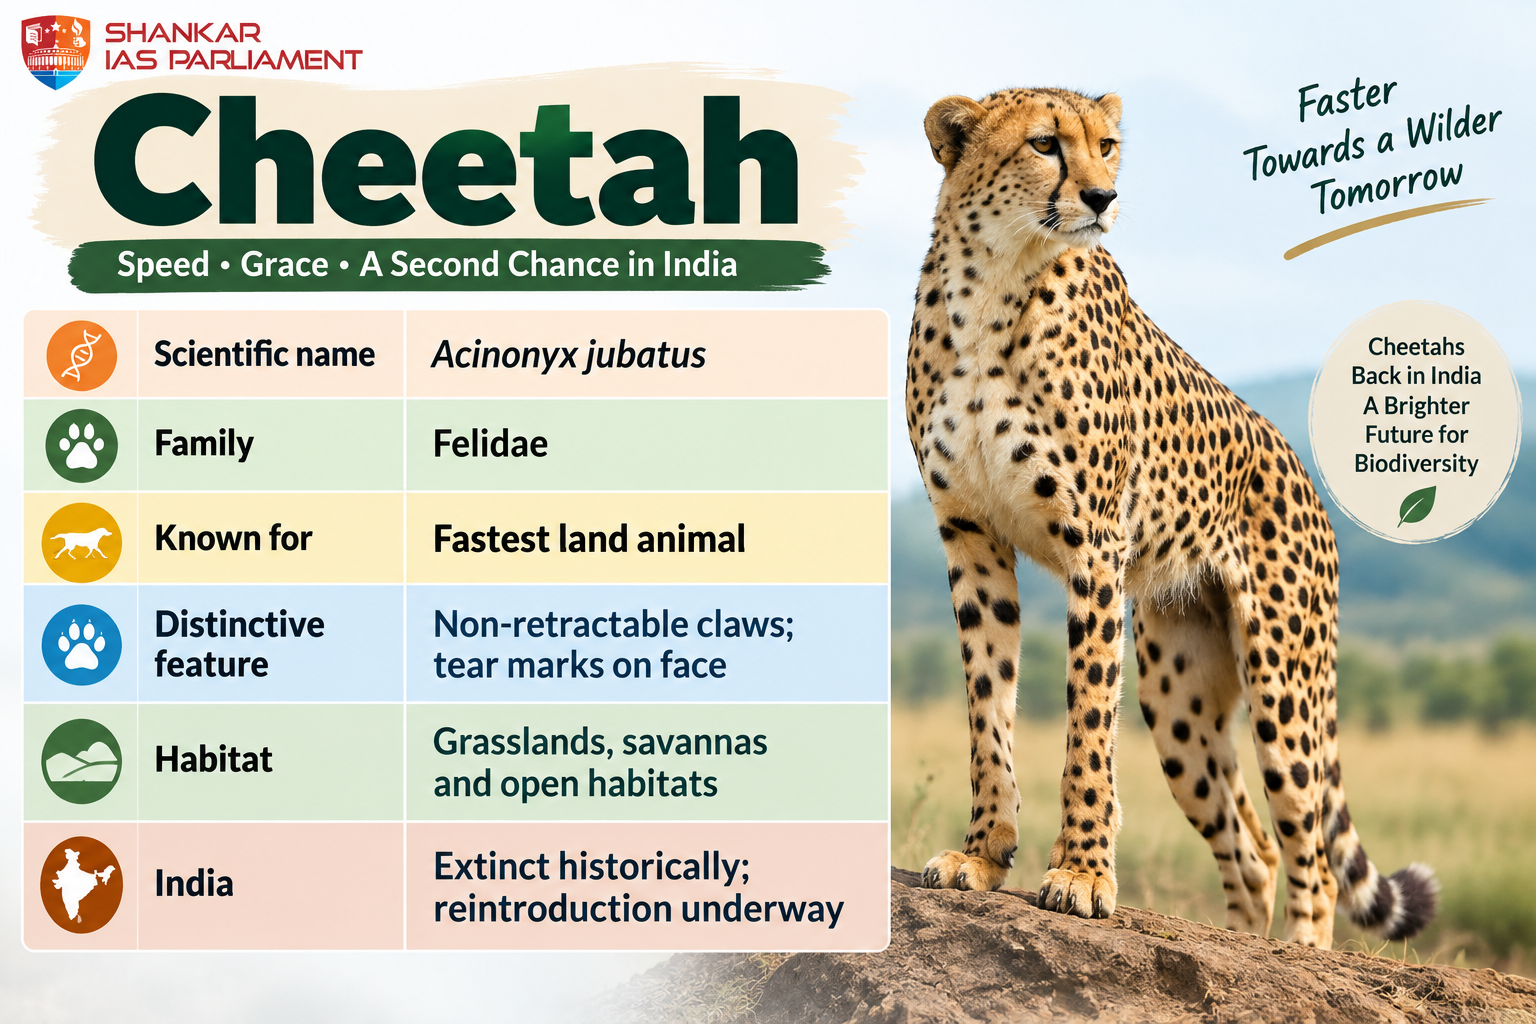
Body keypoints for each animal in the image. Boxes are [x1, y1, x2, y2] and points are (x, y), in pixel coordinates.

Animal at [904, 86, 1439, 947]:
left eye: (1109, 146)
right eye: (1045, 144)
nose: (1102, 197)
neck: (995, 282)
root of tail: (1305, 477)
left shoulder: (1094, 545)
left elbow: (1088, 720)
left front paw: (1081, 875)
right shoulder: (970, 536)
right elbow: (989, 708)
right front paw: (982, 855)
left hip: (1282, 681)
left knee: (1311, 853)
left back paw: (1298, 954)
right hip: (1178, 691)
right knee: (1252, 847)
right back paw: (1241, 941)